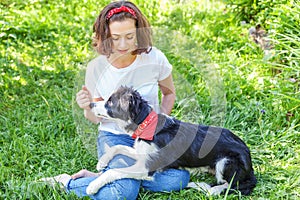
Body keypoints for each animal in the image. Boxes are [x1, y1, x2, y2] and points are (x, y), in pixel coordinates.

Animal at [85, 86, 256, 195]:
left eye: (110, 102)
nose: (90, 104)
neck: (146, 124)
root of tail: (251, 165)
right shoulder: (141, 153)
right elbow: (118, 146)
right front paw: (102, 162)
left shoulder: (146, 168)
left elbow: (114, 171)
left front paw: (93, 186)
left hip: (226, 161)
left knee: (230, 186)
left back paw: (204, 187)